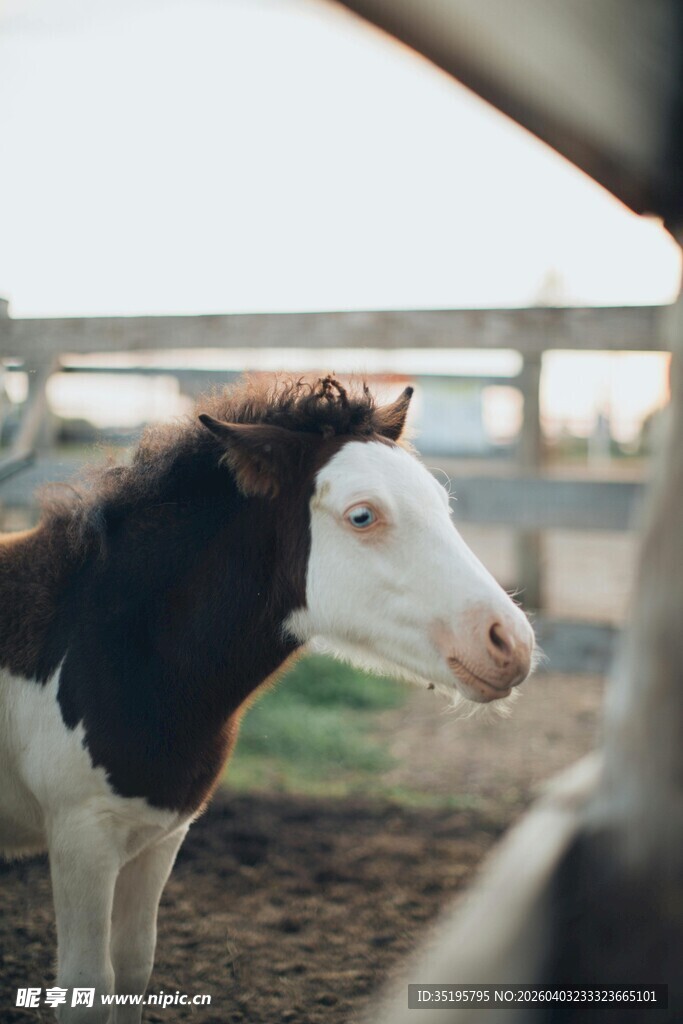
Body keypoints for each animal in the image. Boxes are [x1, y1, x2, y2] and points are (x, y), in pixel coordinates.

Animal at [0, 375, 534, 1022]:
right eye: (362, 515)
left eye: (441, 502)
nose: (511, 642)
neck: (105, 647)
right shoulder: (82, 837)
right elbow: (87, 984)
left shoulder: (159, 836)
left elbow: (132, 968)